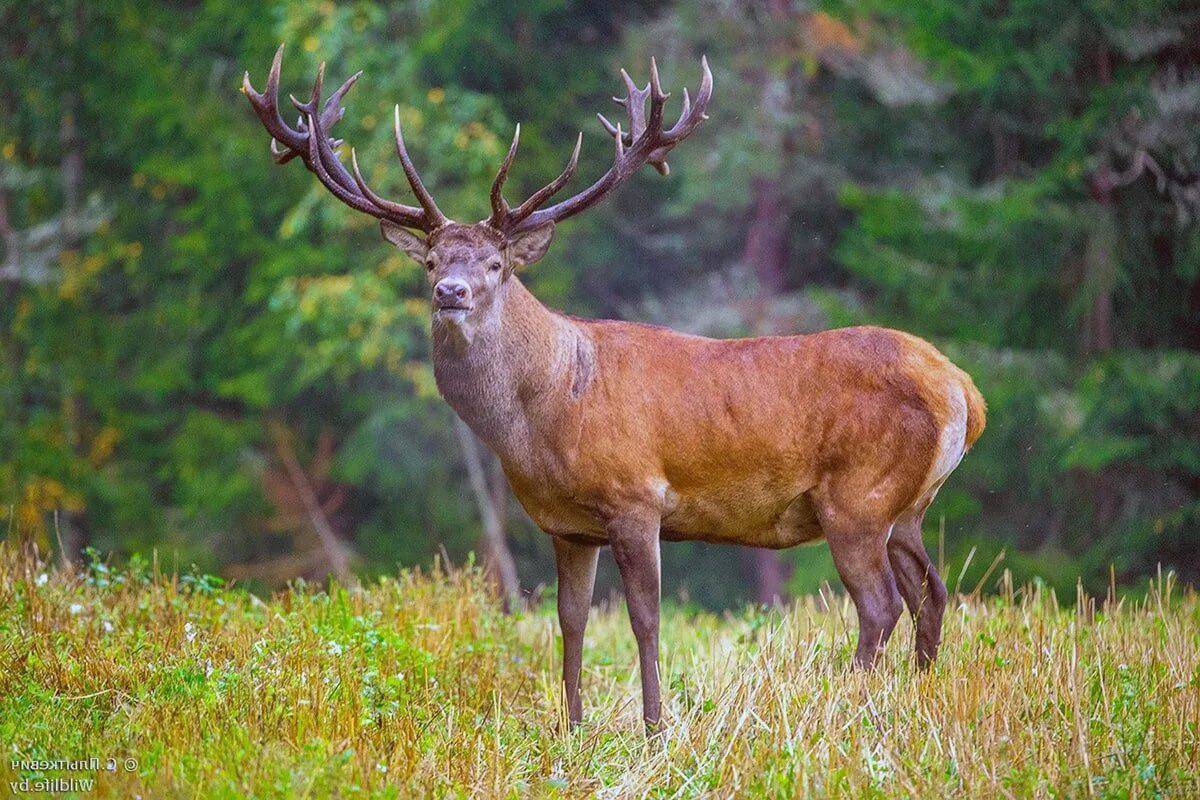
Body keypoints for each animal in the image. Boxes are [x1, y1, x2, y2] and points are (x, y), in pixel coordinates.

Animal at [243, 45, 984, 734]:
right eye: (430, 259)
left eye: (496, 263)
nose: (450, 291)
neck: (545, 418)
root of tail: (962, 391)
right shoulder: (567, 525)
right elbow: (569, 622)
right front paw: (572, 726)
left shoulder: (636, 498)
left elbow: (645, 619)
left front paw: (655, 728)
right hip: (907, 505)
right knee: (933, 594)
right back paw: (916, 699)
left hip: (856, 495)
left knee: (881, 604)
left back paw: (845, 706)